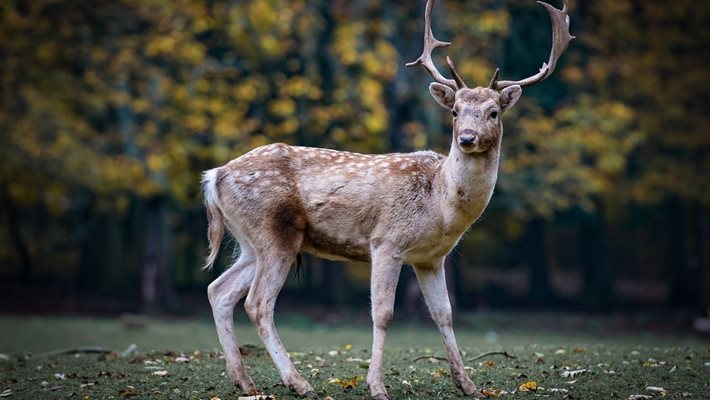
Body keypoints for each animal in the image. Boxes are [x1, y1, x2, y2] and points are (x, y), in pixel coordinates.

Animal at [203, 1, 576, 398]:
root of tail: (215, 176)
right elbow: (383, 314)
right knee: (258, 303)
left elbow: (444, 314)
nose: (467, 138)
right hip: (275, 231)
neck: (440, 205)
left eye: (493, 112)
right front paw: (377, 386)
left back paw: (244, 381)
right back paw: (299, 383)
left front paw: (468, 385)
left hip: (250, 241)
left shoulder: (431, 258)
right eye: (455, 111)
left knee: (219, 290)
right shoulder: (386, 242)